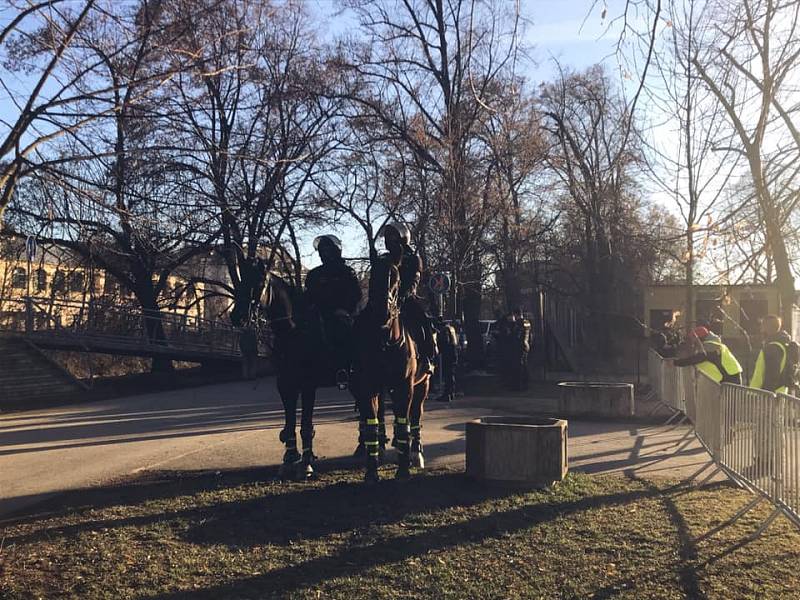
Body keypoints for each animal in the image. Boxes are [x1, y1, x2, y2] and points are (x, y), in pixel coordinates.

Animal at [354, 252, 432, 482]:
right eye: (372, 278)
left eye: (396, 280)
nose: (382, 312)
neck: (385, 341)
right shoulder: (369, 386)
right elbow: (372, 424)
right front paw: (371, 470)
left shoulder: (404, 386)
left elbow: (404, 422)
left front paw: (403, 469)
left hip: (422, 385)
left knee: (414, 417)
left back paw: (415, 452)